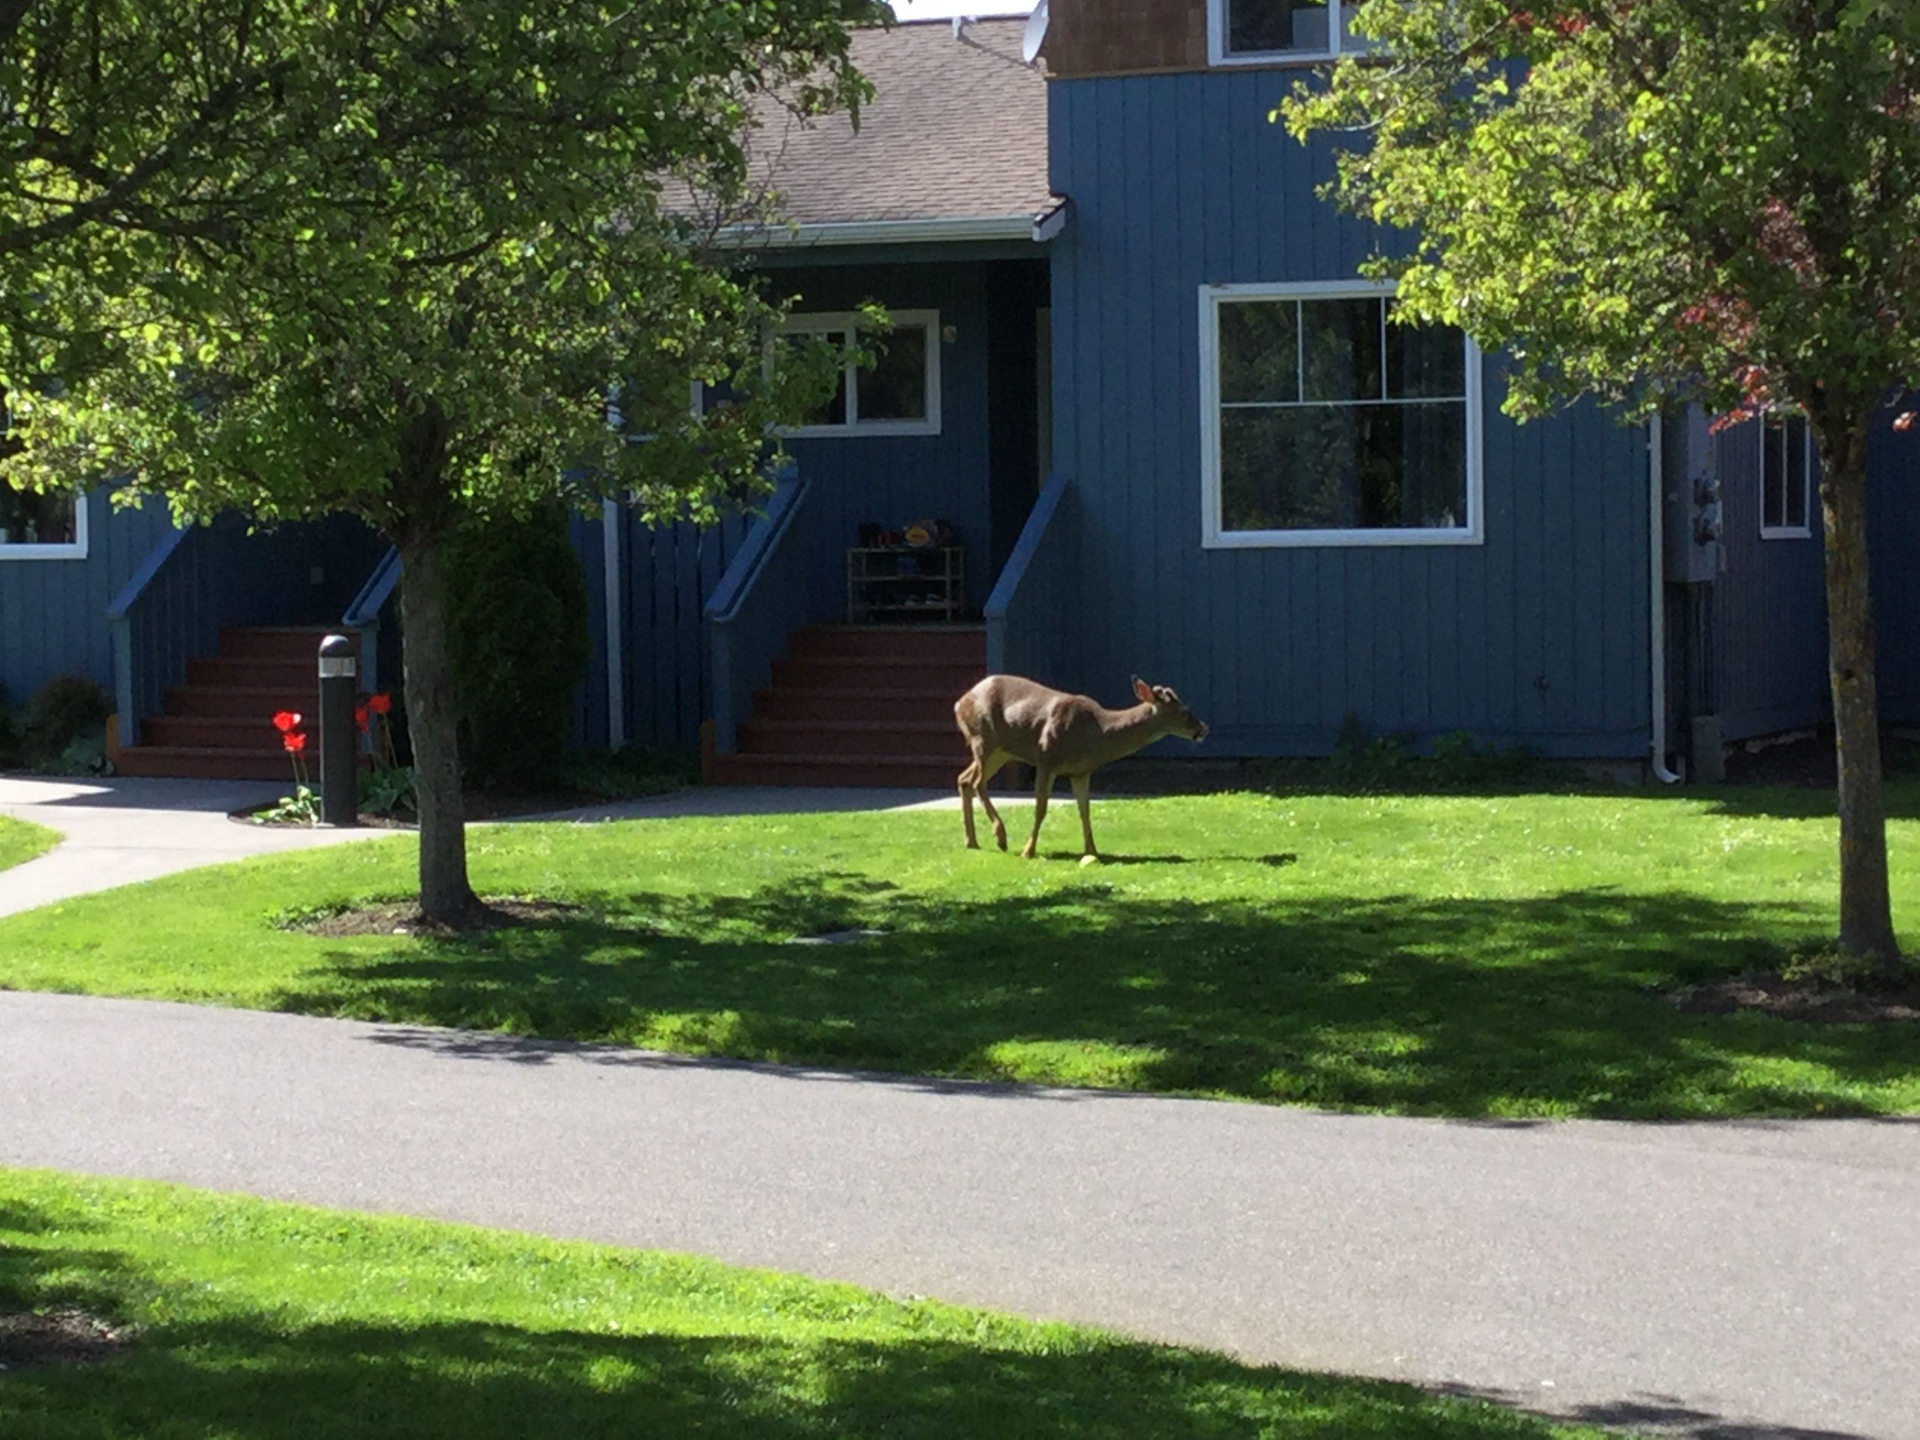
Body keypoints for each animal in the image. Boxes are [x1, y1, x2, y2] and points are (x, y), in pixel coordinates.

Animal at [954, 675, 1208, 860]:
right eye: (1182, 711)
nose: (1203, 729)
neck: (1096, 732)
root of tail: (959, 703)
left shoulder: (1081, 772)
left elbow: (1084, 810)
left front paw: (1092, 851)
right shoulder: (1046, 758)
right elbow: (1041, 808)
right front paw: (1028, 850)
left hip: (1001, 751)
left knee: (964, 779)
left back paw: (972, 841)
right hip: (984, 739)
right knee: (977, 782)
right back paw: (1000, 837)